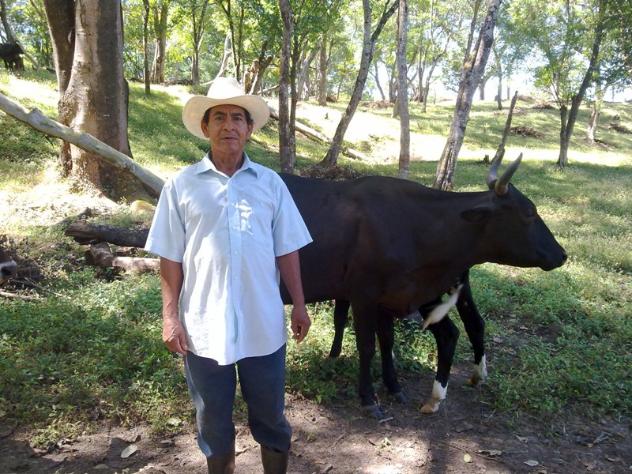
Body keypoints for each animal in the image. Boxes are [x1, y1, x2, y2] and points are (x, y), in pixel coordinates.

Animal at [280, 153, 567, 417]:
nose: (562, 254)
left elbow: (386, 341)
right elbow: (367, 345)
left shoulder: (389, 297)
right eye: (529, 212)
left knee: (464, 328)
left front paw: (394, 387)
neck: (415, 225)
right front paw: (369, 398)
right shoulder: (364, 295)